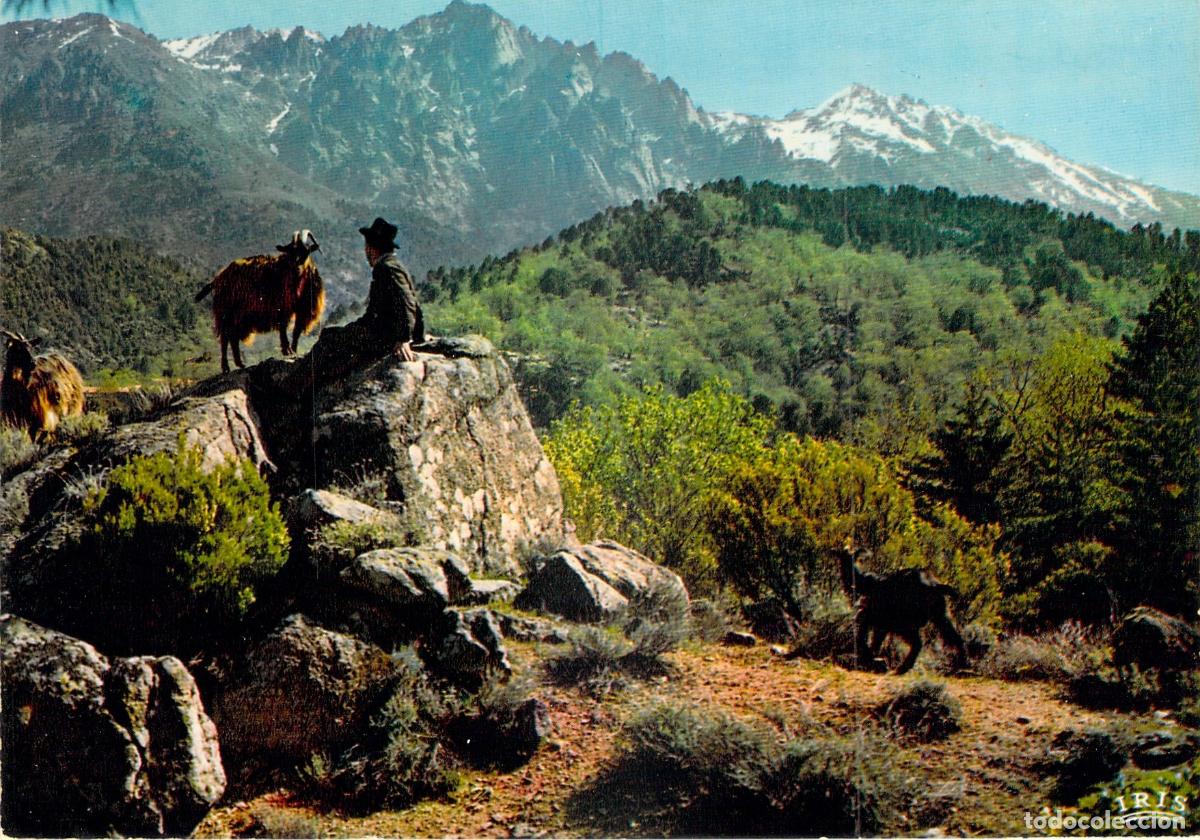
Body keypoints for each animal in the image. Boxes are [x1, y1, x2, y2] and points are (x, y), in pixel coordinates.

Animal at [195, 230, 324, 372]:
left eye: (306, 251)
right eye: (290, 252)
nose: (297, 268)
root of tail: (218, 278)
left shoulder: (302, 309)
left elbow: (296, 331)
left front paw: (293, 351)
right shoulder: (281, 307)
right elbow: (283, 328)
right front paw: (287, 350)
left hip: (237, 316)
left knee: (233, 337)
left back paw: (240, 363)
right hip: (227, 312)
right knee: (225, 337)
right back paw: (226, 367)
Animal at [837, 545, 967, 674]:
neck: (862, 582)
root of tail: (934, 585)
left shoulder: (871, 617)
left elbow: (863, 638)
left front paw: (867, 660)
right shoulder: (880, 624)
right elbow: (873, 641)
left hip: (904, 621)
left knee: (917, 643)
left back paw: (901, 669)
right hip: (938, 617)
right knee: (955, 638)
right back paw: (961, 665)